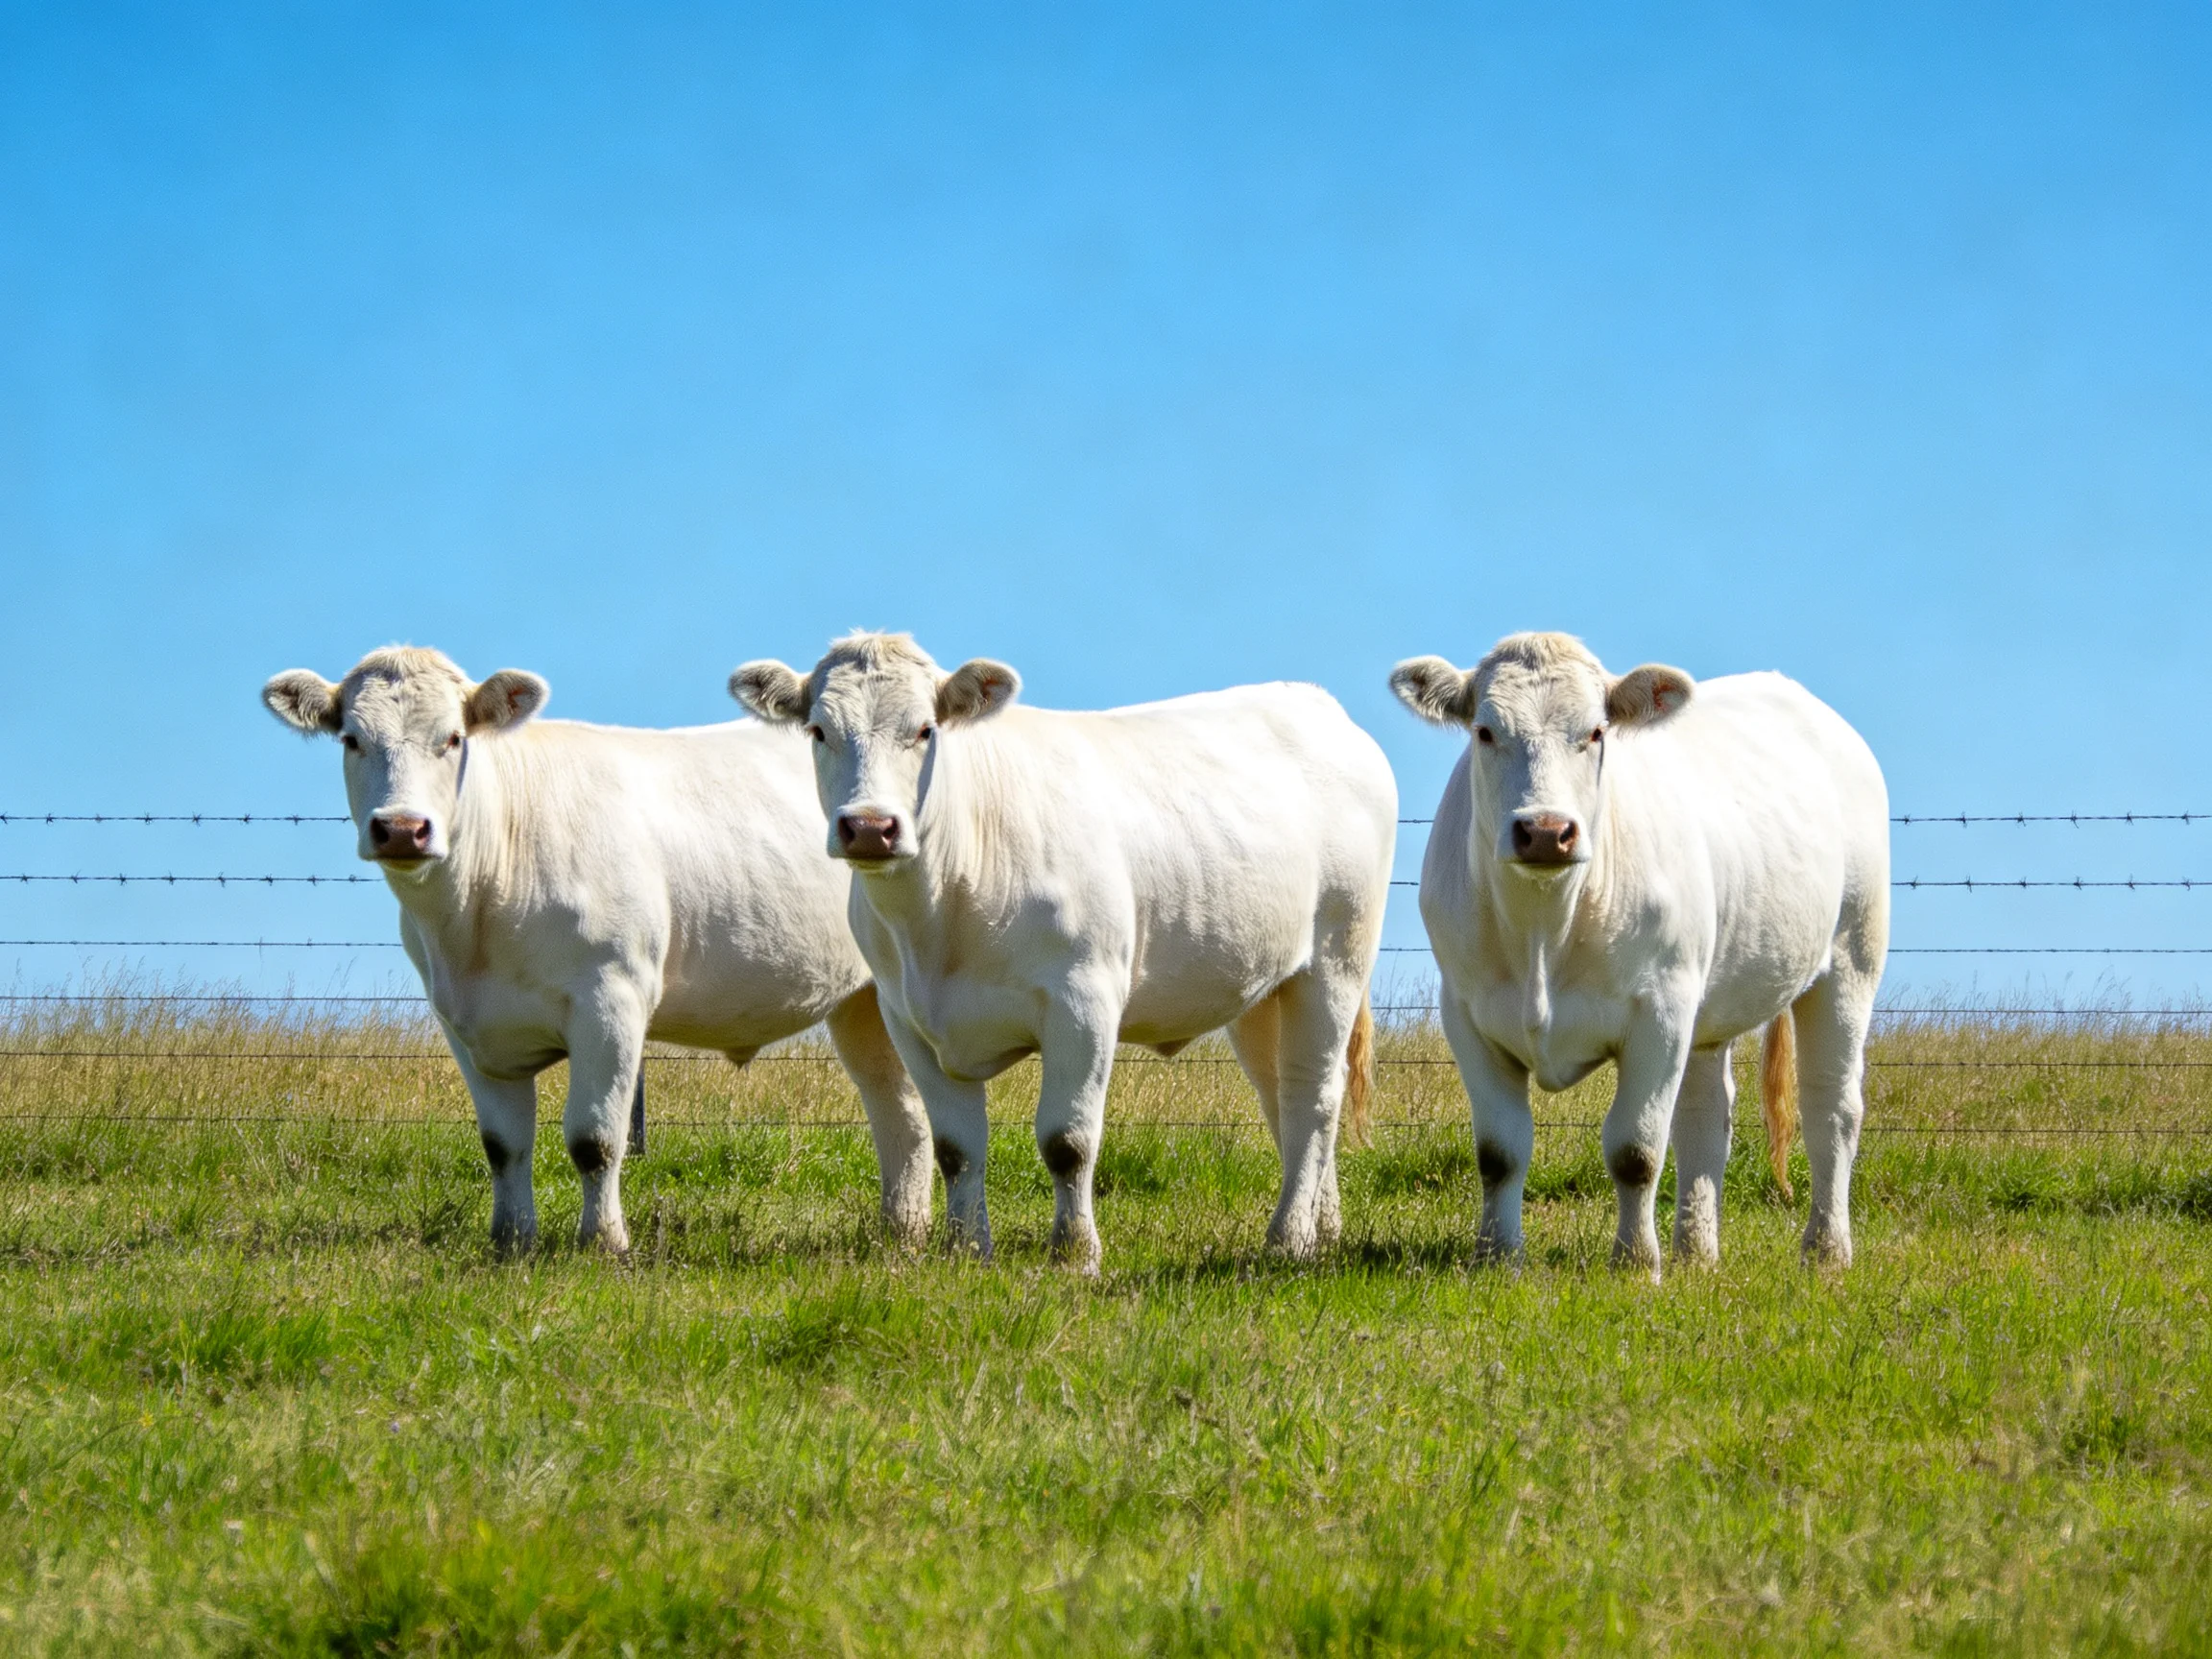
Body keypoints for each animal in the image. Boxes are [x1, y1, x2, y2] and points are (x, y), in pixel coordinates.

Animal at [261, 646, 933, 1255]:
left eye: (452, 739)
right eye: (352, 739)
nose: (402, 829)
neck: (474, 920)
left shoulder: (610, 998)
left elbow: (595, 1138)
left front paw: (604, 1244)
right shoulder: (464, 1021)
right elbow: (503, 1145)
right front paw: (511, 1242)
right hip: (863, 1003)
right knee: (899, 1110)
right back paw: (902, 1232)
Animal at [729, 632, 1398, 1271]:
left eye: (924, 729)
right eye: (819, 730)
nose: (870, 827)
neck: (941, 917)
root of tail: (1312, 700)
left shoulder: (1084, 1000)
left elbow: (1067, 1141)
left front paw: (1075, 1255)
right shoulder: (907, 1017)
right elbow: (955, 1149)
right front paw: (965, 1252)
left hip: (1335, 960)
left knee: (1314, 1094)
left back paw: (1287, 1240)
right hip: (1263, 985)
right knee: (1282, 1094)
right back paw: (1321, 1228)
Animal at [1389, 632, 1888, 1274]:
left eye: (1597, 732)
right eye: (1484, 731)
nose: (1545, 831)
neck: (1543, 931)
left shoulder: (1660, 1011)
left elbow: (1636, 1149)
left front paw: (1633, 1262)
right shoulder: (1467, 1012)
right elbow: (1500, 1151)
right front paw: (1497, 1258)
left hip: (1851, 959)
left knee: (1832, 1108)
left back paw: (1826, 1250)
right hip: (1710, 1001)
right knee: (1706, 1117)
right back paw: (1696, 1254)